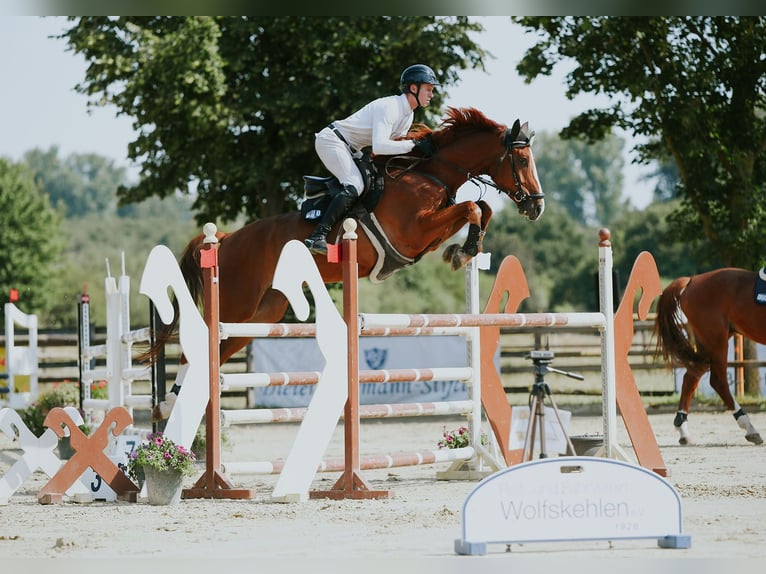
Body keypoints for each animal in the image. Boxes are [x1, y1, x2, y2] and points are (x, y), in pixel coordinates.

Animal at [151, 106, 545, 420]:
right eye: (523, 160)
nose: (536, 206)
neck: (430, 172)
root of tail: (226, 239)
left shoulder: (426, 235)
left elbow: (482, 207)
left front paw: (462, 251)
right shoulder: (413, 233)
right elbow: (472, 207)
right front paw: (463, 250)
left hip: (262, 314)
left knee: (217, 349)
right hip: (237, 302)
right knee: (199, 343)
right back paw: (171, 405)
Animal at [653, 267, 764, 445]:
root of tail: (693, 279)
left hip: (709, 341)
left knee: (692, 375)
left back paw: (683, 431)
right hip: (716, 340)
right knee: (718, 381)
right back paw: (749, 427)